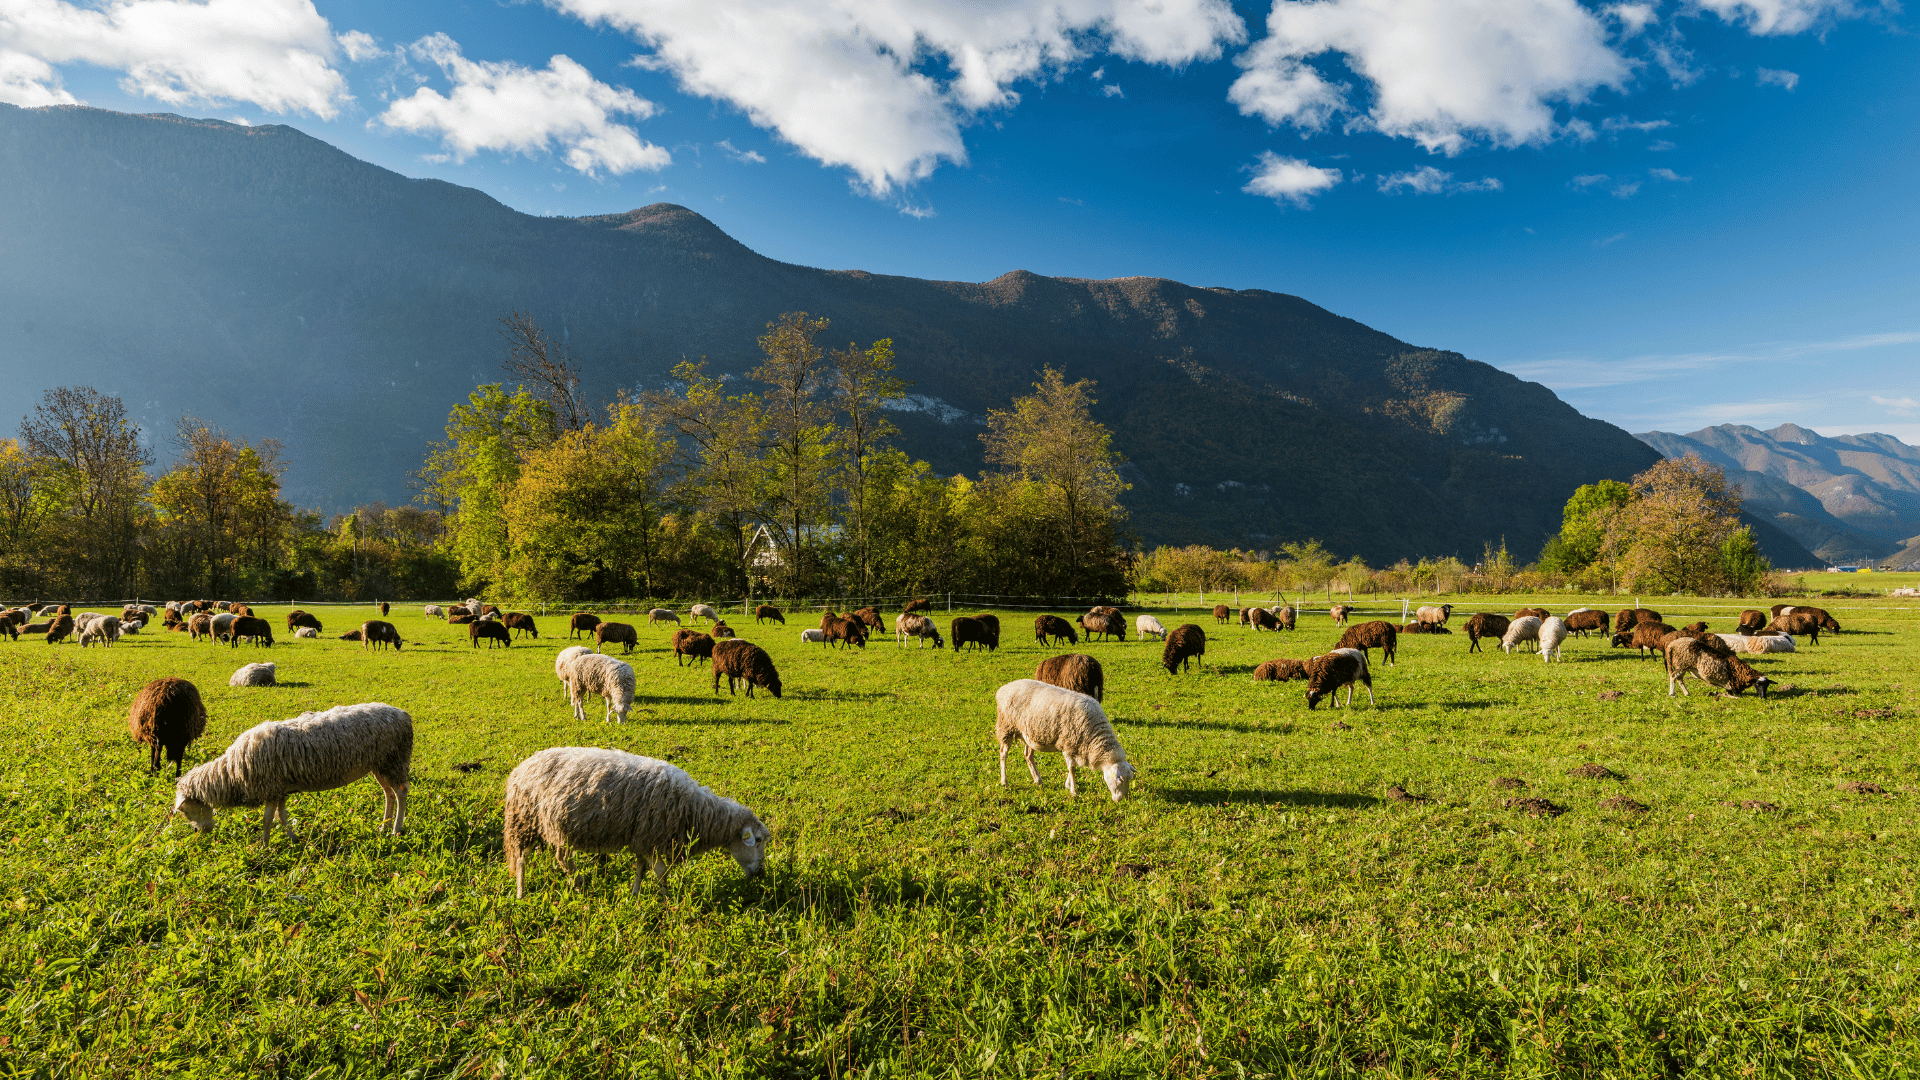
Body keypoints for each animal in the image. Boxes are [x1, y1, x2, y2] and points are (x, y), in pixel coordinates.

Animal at [161, 699, 412, 841]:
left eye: (185, 811)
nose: (199, 833)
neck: (230, 774)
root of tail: (403, 714)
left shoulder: (271, 789)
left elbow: (267, 819)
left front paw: (263, 845)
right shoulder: (280, 790)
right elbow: (281, 816)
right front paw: (293, 838)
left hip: (394, 760)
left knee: (400, 793)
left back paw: (396, 829)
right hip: (379, 764)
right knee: (388, 794)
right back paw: (383, 826)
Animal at [503, 745, 771, 895]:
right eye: (757, 840)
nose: (760, 874)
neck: (695, 810)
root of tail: (521, 767)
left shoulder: (642, 839)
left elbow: (641, 869)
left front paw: (635, 894)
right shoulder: (652, 838)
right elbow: (661, 872)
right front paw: (667, 897)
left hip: (547, 826)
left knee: (558, 857)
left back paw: (576, 884)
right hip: (525, 821)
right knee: (524, 859)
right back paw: (523, 892)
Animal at [998, 676, 1128, 795]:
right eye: (1119, 781)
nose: (1121, 800)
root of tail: (1004, 688)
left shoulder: (1074, 745)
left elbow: (1072, 767)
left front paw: (1068, 784)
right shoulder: (1068, 743)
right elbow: (1072, 768)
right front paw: (1074, 791)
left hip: (1028, 733)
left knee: (1028, 755)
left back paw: (1038, 780)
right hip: (1006, 727)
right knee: (1003, 754)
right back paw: (1004, 782)